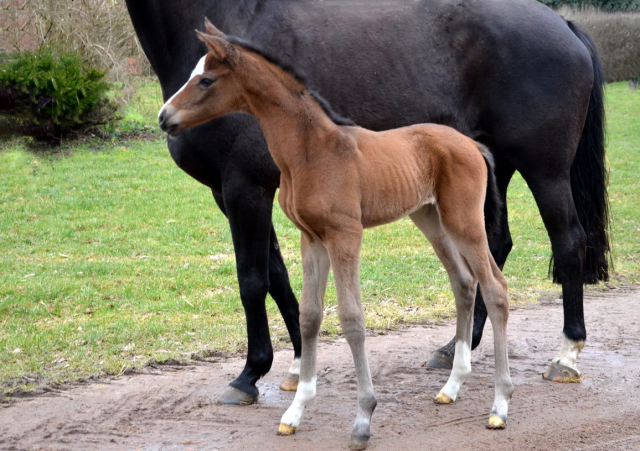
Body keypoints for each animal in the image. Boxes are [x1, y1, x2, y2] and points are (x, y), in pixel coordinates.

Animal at [126, 0, 608, 404]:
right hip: (486, 178)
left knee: (567, 241)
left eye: (207, 79)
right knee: (493, 250)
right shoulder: (240, 196)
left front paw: (249, 376)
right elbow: (281, 278)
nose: (165, 118)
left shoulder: (245, 187)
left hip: (544, 170)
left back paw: (565, 354)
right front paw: (297, 365)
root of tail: (563, 23)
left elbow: (252, 281)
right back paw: (456, 349)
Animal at [160, 22, 516, 451]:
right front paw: (295, 411)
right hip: (430, 219)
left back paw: (499, 406)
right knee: (463, 283)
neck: (310, 151)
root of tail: (473, 144)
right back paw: (451, 386)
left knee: (494, 287)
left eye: (206, 80)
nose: (164, 117)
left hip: (464, 222)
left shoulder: (345, 235)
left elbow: (352, 318)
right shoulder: (312, 238)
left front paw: (363, 418)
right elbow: (311, 315)